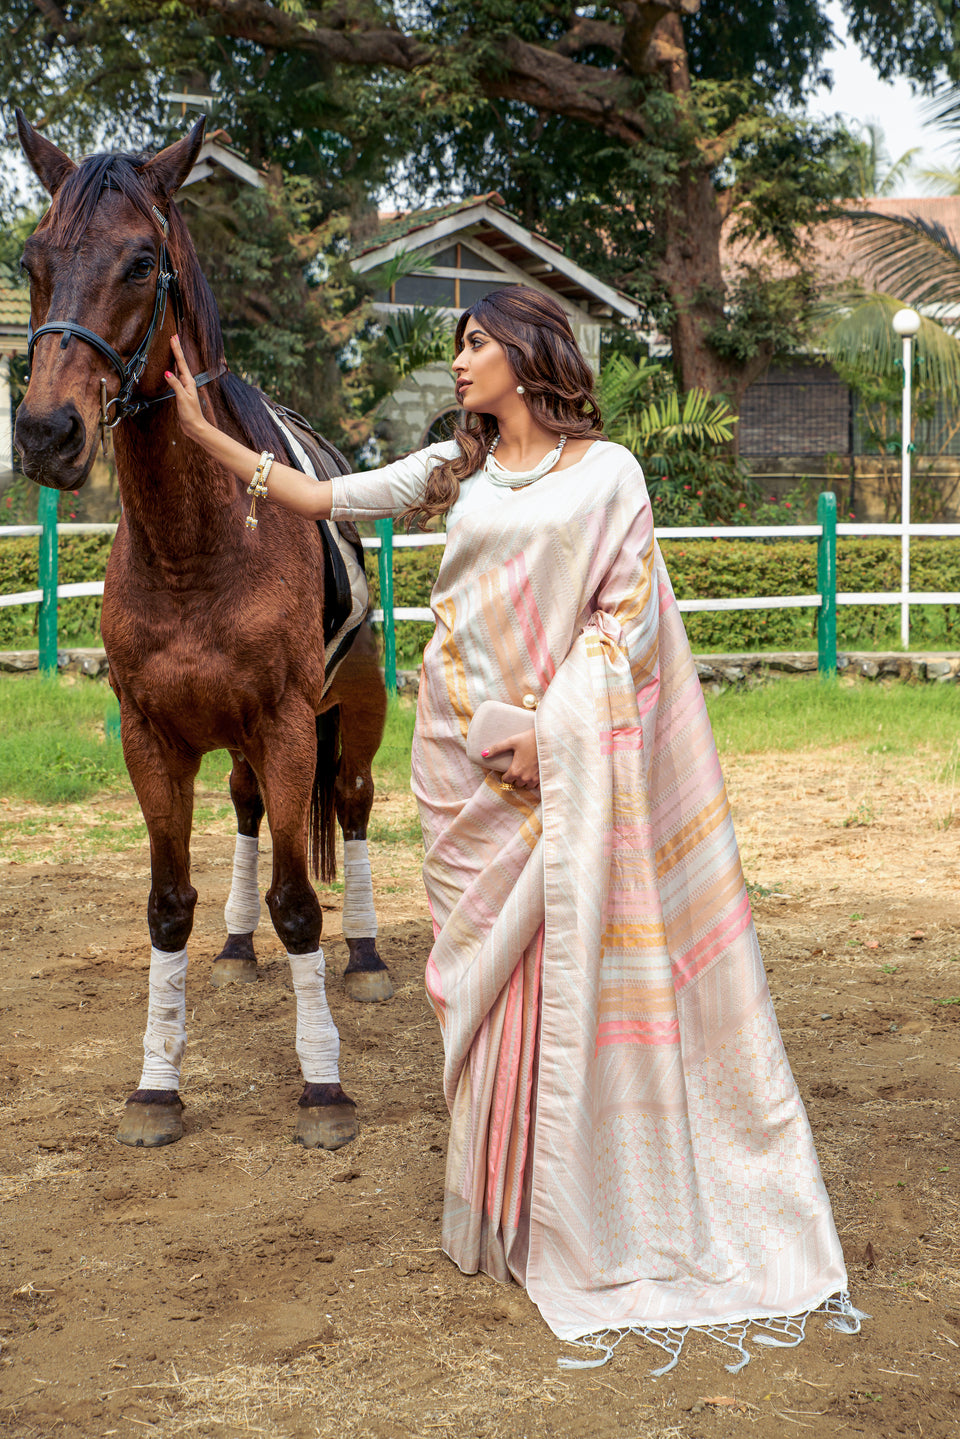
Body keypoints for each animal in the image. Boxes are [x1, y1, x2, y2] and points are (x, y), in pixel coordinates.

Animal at [12, 112, 394, 1151]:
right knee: (251, 808)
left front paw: (323, 1086)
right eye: (31, 259)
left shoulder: (289, 724)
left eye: (142, 262)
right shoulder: (153, 736)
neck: (197, 544)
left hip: (356, 714)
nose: (47, 432)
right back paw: (234, 940)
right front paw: (157, 1086)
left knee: (350, 805)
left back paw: (368, 955)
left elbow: (300, 904)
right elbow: (166, 905)